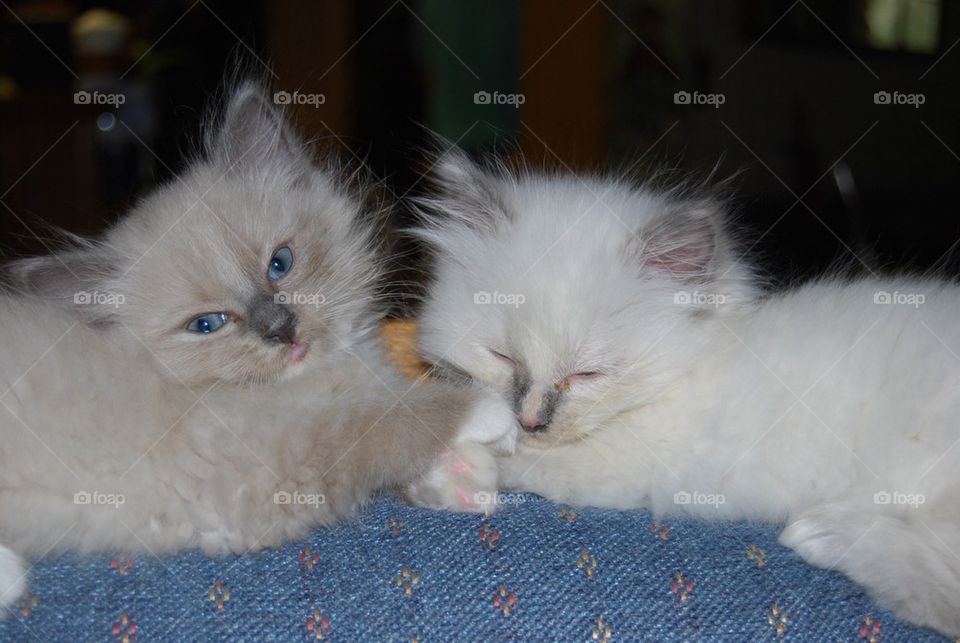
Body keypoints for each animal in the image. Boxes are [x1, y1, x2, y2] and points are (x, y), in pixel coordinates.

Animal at [0, 84, 512, 612]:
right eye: (207, 324)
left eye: (279, 263)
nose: (280, 329)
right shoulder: (268, 464)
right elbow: (382, 424)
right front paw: (491, 416)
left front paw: (464, 478)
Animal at [416, 147, 960, 640]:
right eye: (503, 356)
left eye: (587, 374)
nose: (531, 420)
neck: (697, 363)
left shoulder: (624, 464)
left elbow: (518, 459)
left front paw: (460, 464)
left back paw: (826, 535)